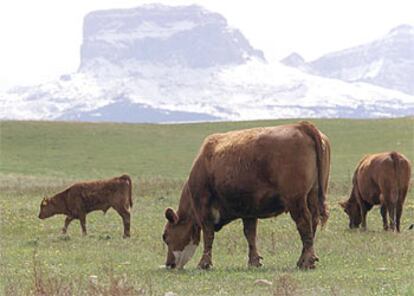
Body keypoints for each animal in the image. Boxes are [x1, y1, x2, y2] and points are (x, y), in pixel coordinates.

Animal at [162, 121, 330, 270]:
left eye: (165, 236)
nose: (169, 264)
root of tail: (301, 125)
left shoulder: (203, 209)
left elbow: (208, 236)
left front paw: (204, 264)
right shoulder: (249, 211)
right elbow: (250, 234)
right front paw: (254, 261)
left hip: (296, 200)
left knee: (304, 223)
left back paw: (307, 261)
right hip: (312, 196)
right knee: (312, 223)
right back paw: (303, 260)